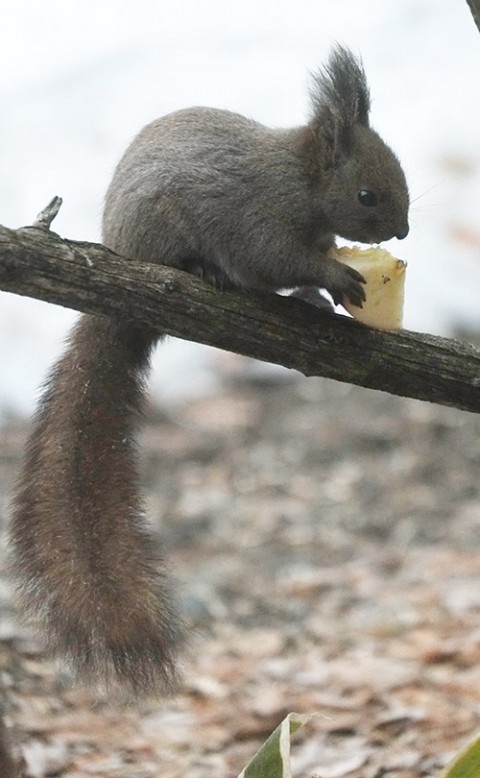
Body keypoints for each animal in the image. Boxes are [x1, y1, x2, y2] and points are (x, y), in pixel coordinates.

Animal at [9, 45, 408, 696]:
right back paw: (206, 270)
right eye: (368, 195)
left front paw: (320, 291)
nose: (403, 231)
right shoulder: (264, 218)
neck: (303, 181)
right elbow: (279, 258)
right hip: (162, 229)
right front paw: (332, 278)